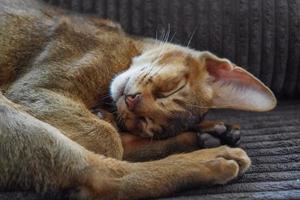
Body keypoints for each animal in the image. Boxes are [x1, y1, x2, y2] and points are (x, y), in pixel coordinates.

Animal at [0, 0, 276, 200]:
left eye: (145, 123)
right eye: (172, 89)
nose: (132, 100)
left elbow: (115, 139)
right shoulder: (34, 89)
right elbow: (107, 141)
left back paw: (212, 136)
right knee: (103, 175)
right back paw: (212, 157)